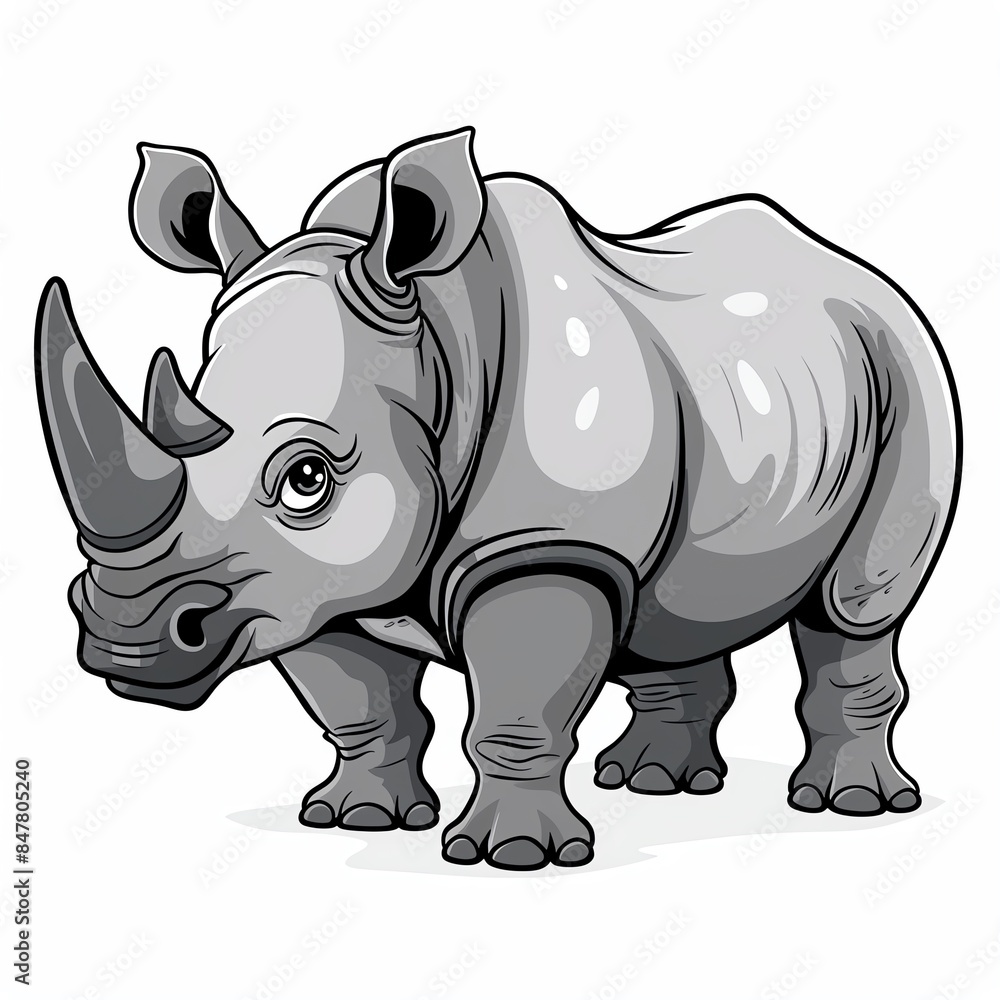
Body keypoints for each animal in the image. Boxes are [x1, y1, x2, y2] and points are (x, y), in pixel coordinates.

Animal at [36, 127, 960, 870]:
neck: (439, 347)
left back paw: (848, 804)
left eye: (307, 477)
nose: (126, 640)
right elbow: (358, 699)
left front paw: (512, 857)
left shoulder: (544, 549)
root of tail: (851, 264)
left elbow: (518, 704)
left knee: (855, 606)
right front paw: (357, 821)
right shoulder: (302, 584)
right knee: (679, 601)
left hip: (906, 361)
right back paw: (655, 783)